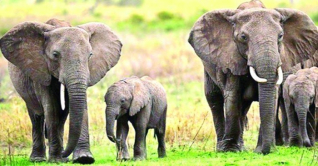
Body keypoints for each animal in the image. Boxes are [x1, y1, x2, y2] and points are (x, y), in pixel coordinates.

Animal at [0, 18, 121, 163]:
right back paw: (38, 159)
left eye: (90, 55)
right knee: (36, 115)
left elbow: (80, 105)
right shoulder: (41, 69)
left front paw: (84, 158)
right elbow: (51, 108)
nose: (64, 154)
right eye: (55, 55)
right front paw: (56, 160)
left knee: (62, 115)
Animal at [189, 1, 318, 154]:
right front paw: (230, 150)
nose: (265, 151)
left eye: (280, 36)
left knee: (243, 107)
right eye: (243, 37)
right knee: (214, 98)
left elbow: (272, 96)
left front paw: (261, 149)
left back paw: (241, 147)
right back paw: (222, 148)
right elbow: (232, 96)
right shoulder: (231, 57)